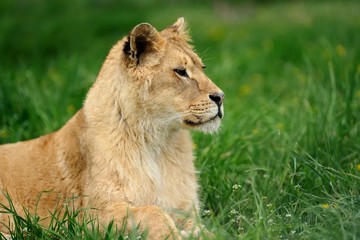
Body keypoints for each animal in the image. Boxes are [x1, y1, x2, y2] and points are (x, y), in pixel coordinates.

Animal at [0, 17, 224, 239]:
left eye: (202, 68)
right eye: (180, 72)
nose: (221, 97)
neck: (158, 143)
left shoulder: (187, 213)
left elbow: (206, 232)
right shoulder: (87, 219)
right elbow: (153, 212)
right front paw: (174, 234)